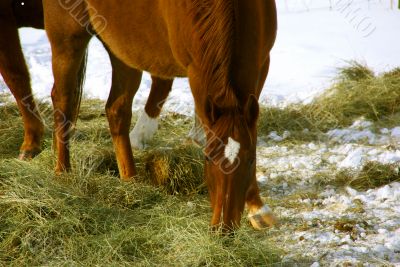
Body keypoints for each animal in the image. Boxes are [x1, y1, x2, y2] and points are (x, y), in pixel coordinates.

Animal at [43, 0, 276, 230]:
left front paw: (257, 208)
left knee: (116, 111)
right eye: (208, 158)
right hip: (67, 39)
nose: (223, 227)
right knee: (63, 101)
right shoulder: (197, 74)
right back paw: (63, 172)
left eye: (251, 160)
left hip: (122, 50)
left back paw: (130, 180)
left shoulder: (261, 64)